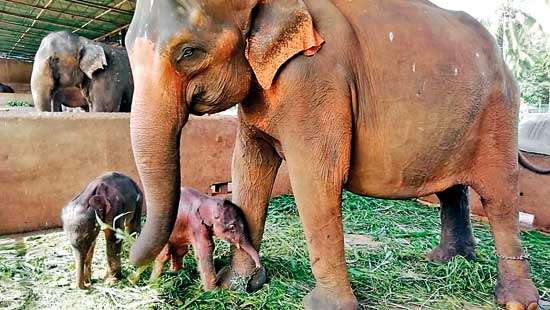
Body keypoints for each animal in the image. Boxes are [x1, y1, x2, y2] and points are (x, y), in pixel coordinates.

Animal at [127, 1, 544, 308]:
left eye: (188, 52)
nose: (130, 267)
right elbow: (248, 167)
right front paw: (238, 286)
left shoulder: (316, 78)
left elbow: (315, 178)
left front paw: (323, 306)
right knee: (451, 190)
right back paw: (447, 261)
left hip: (498, 114)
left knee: (500, 197)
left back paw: (515, 301)